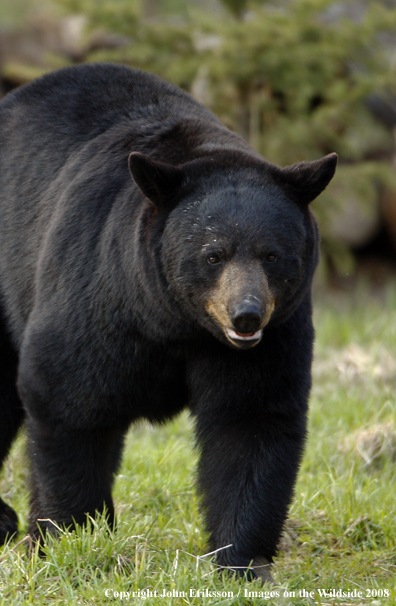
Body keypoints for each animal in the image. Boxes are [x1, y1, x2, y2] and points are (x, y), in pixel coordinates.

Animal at [0, 64, 336, 580]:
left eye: (273, 255)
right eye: (213, 255)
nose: (246, 315)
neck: (174, 322)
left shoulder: (275, 334)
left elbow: (251, 418)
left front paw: (241, 562)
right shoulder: (96, 292)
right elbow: (68, 399)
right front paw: (73, 538)